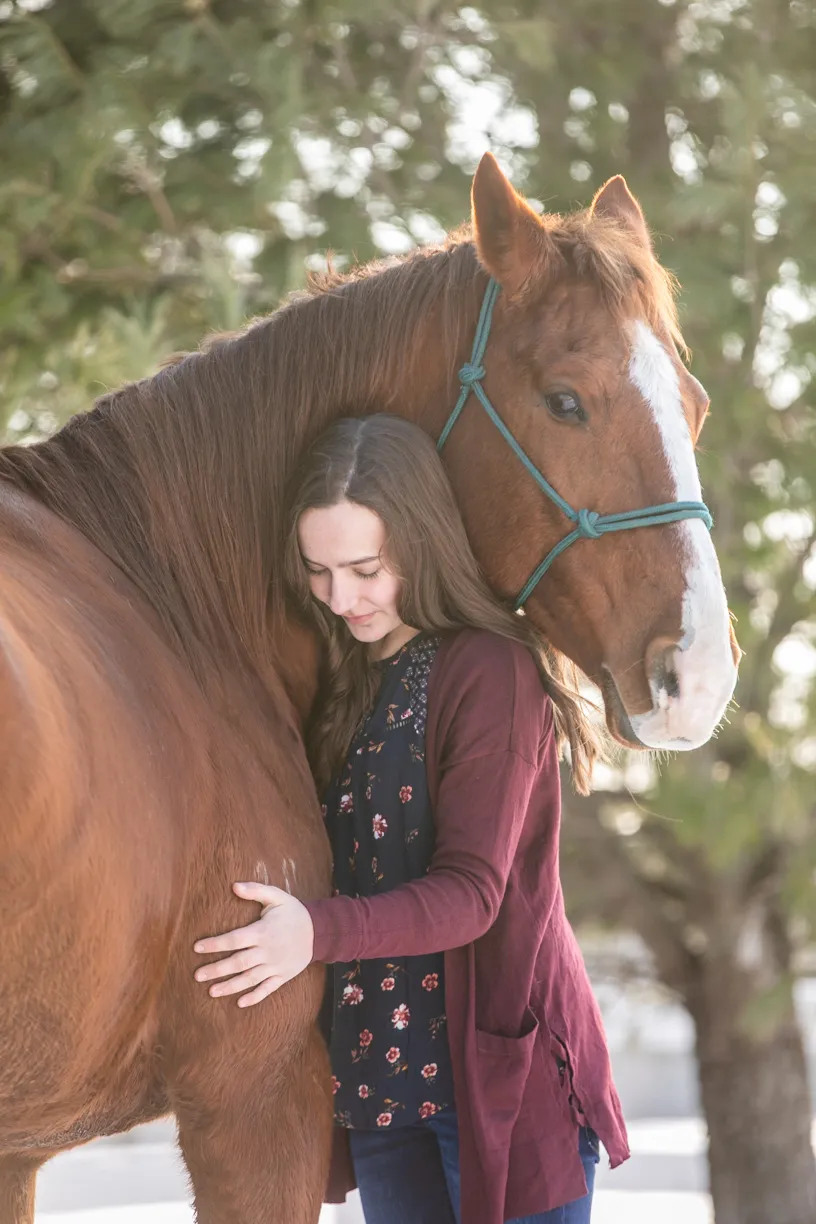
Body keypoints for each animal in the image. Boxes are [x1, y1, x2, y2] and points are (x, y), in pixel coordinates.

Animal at [0, 152, 740, 1222]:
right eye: (566, 400)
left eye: (694, 404)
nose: (700, 674)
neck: (167, 595)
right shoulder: (257, 1100)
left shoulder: (20, 1148)